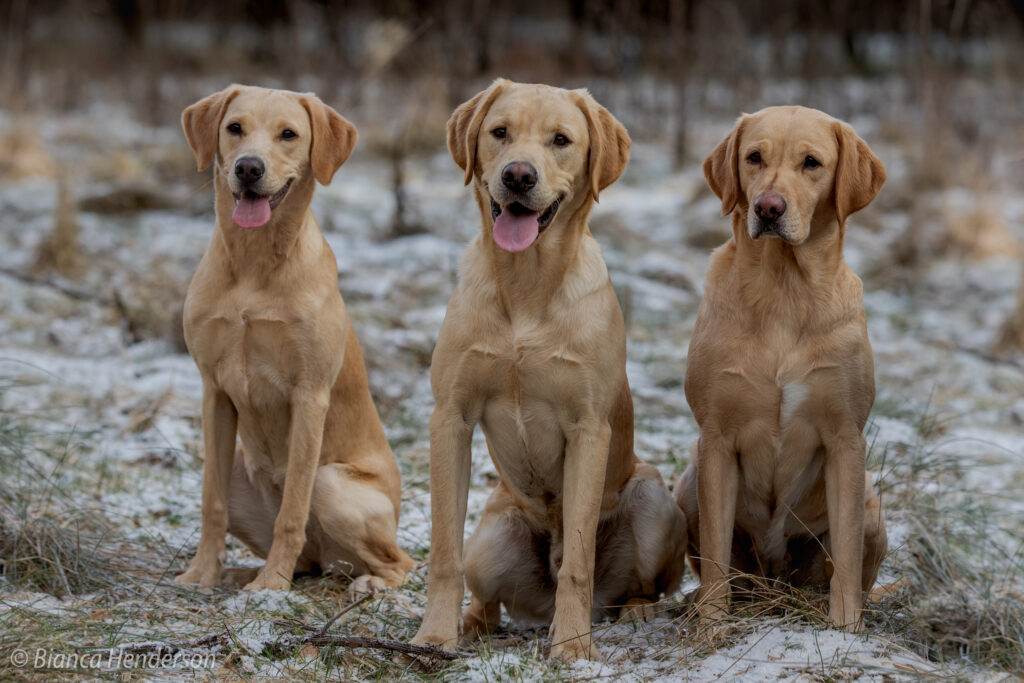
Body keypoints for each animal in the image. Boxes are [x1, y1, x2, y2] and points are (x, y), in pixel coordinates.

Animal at [177, 83, 415, 598]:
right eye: (234, 128)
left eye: (288, 134)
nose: (249, 167)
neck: (253, 263)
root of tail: (331, 562)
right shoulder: (214, 392)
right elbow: (209, 501)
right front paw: (202, 574)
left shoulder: (309, 396)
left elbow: (292, 510)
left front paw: (270, 588)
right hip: (240, 467)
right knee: (307, 558)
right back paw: (243, 571)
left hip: (335, 483)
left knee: (401, 563)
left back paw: (364, 584)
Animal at [409, 80, 688, 663]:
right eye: (499, 132)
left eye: (561, 140)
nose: (519, 175)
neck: (527, 284)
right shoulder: (450, 418)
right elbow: (443, 553)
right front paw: (434, 637)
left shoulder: (588, 429)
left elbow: (578, 564)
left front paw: (573, 647)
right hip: (492, 539)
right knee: (488, 596)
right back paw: (472, 623)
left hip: (652, 498)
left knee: (634, 584)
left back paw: (633, 610)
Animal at [671, 104, 888, 634]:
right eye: (754, 157)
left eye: (812, 163)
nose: (768, 207)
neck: (784, 291)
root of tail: (774, 581)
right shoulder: (716, 439)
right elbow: (715, 554)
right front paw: (712, 626)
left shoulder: (845, 440)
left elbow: (846, 554)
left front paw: (845, 627)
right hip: (687, 484)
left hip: (872, 502)